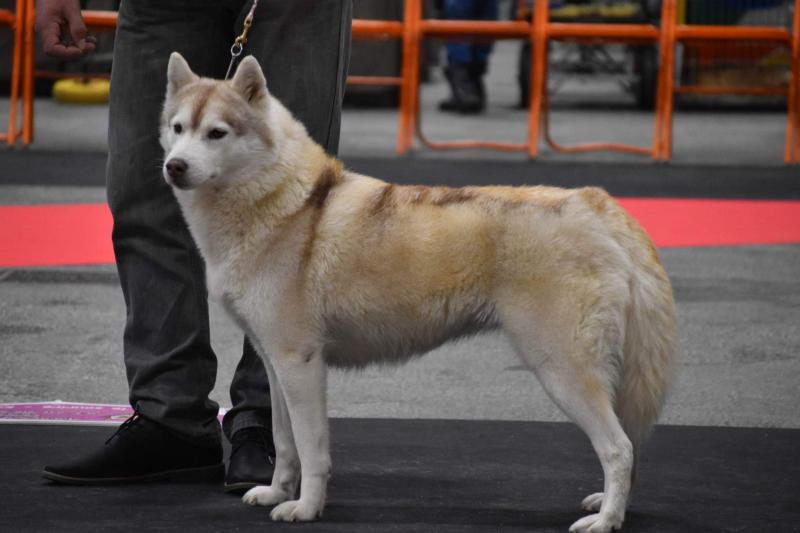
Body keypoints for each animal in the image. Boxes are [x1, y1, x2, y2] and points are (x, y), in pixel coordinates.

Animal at [160, 52, 677, 533]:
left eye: (217, 133)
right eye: (178, 127)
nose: (174, 167)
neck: (282, 204)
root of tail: (595, 204)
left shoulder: (301, 363)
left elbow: (311, 448)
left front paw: (306, 508)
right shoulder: (275, 363)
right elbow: (285, 442)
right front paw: (275, 492)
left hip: (561, 369)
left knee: (619, 447)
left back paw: (606, 520)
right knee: (627, 447)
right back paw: (608, 505)